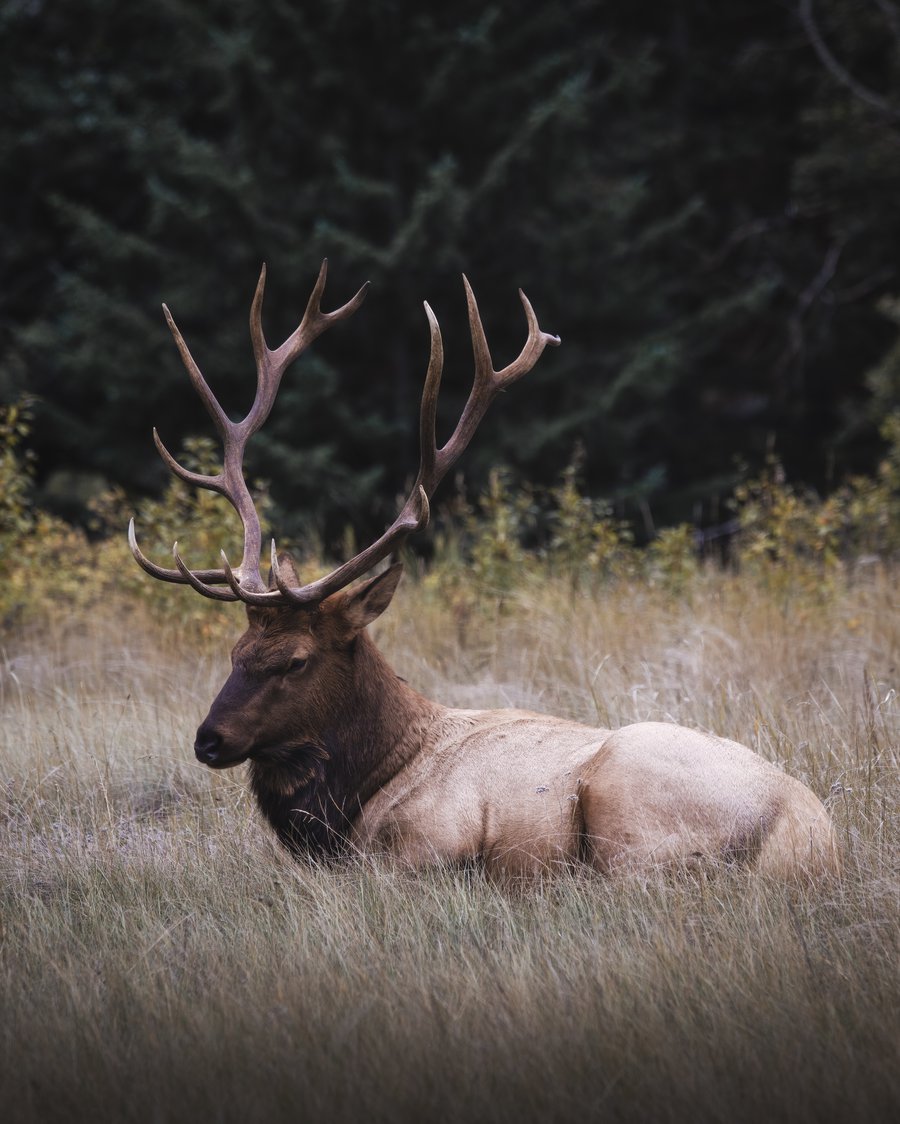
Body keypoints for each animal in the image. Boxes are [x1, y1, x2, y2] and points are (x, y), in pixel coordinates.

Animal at [129, 260, 840, 876]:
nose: (209, 739)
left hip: (628, 802)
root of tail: (810, 836)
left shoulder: (430, 840)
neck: (363, 790)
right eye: (236, 650)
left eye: (296, 660)